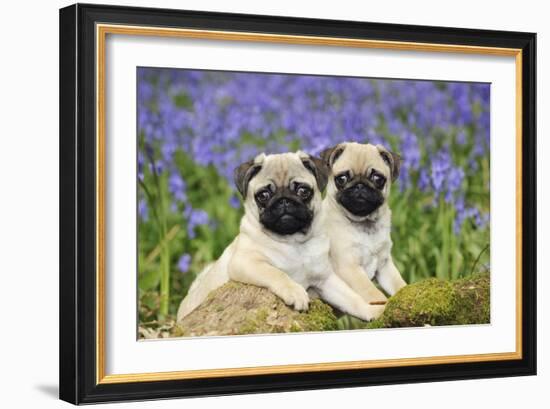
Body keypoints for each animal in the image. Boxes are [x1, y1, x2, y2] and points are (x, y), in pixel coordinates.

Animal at [177, 150, 384, 322]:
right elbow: (277, 273)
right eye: (263, 195)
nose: (284, 201)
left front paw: (373, 311)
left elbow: (352, 299)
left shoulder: (326, 280)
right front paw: (295, 292)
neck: (294, 242)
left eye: (302, 191)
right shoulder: (245, 262)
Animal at [322, 142, 408, 304]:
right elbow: (372, 292)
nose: (360, 185)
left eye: (377, 178)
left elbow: (399, 284)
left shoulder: (384, 266)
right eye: (341, 179)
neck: (365, 223)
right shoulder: (350, 267)